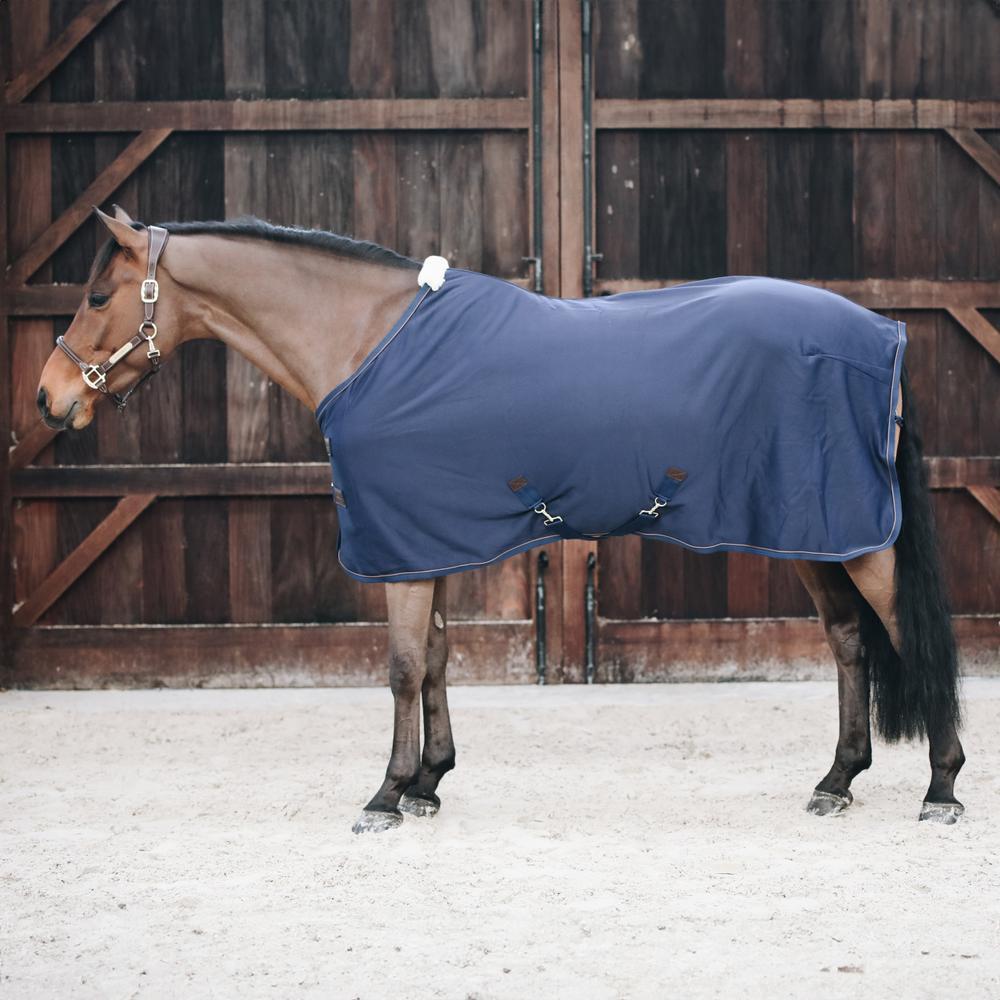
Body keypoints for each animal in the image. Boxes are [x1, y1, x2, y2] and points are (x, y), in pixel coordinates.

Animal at [35, 206, 966, 833]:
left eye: (97, 294)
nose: (48, 398)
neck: (371, 343)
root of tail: (881, 334)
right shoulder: (424, 539)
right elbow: (437, 658)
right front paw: (428, 783)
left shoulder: (400, 549)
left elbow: (402, 667)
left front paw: (385, 795)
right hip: (815, 532)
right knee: (848, 642)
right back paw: (838, 781)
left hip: (857, 539)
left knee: (906, 638)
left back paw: (942, 787)